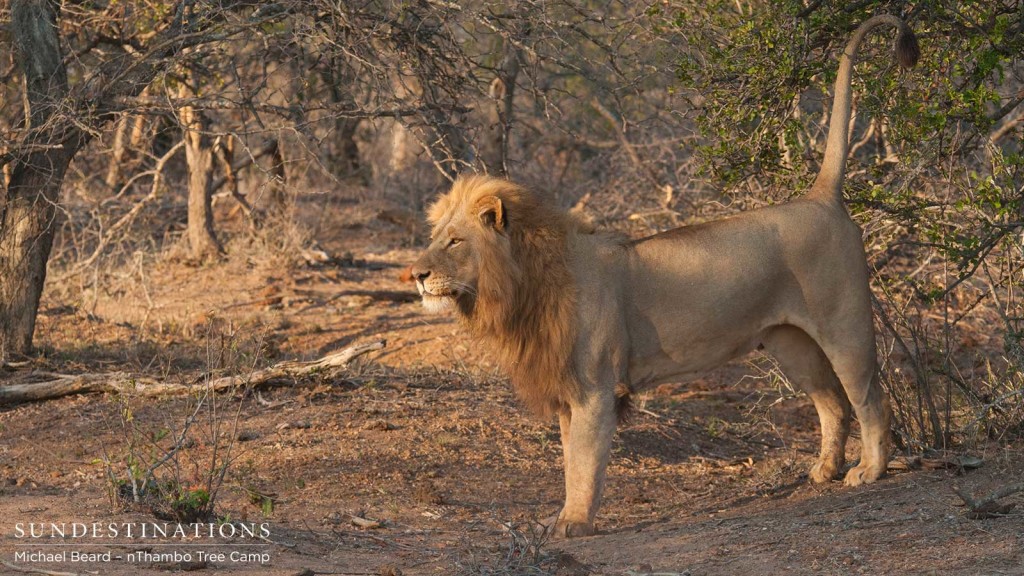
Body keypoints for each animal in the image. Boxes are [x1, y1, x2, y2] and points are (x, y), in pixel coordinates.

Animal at [411, 14, 925, 532]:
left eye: (454, 241)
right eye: (435, 236)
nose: (415, 274)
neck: (521, 286)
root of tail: (820, 196)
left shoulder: (595, 388)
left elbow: (584, 461)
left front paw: (575, 523)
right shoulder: (568, 390)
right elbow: (569, 460)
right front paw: (565, 517)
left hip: (844, 326)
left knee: (870, 399)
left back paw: (869, 471)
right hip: (790, 343)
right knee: (832, 402)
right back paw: (825, 470)